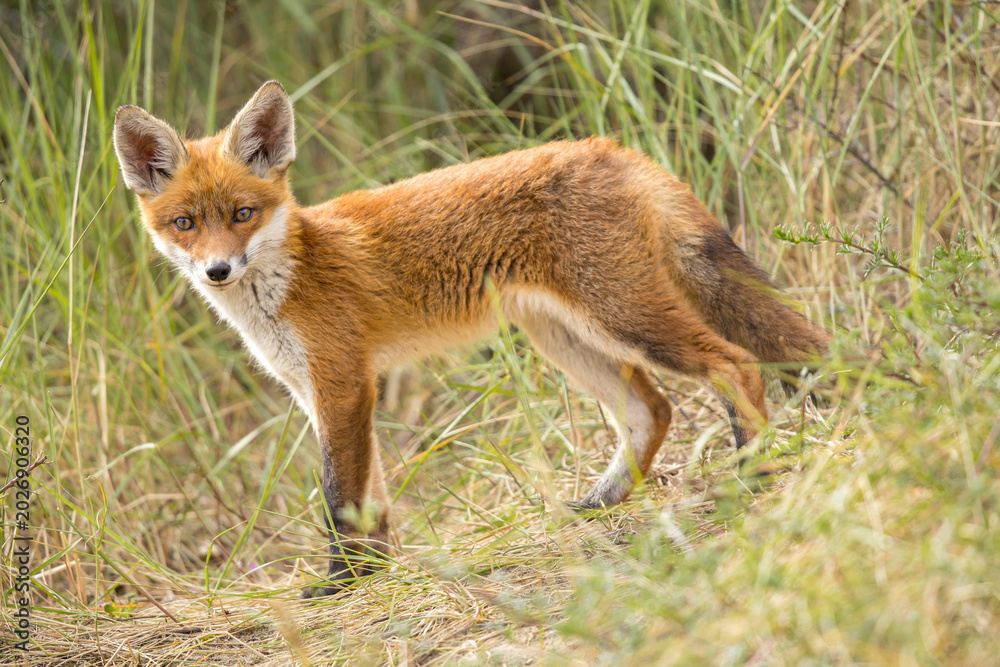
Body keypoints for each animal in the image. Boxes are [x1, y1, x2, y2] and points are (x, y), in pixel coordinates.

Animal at [113, 81, 829, 597]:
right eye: (184, 223)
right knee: (651, 410)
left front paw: (342, 585)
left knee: (734, 364)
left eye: (241, 214)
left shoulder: (343, 384)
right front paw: (376, 576)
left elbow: (340, 500)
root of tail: (612, 148)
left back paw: (752, 472)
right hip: (563, 336)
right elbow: (371, 502)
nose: (217, 270)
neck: (290, 278)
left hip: (624, 316)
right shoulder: (320, 392)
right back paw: (599, 504)